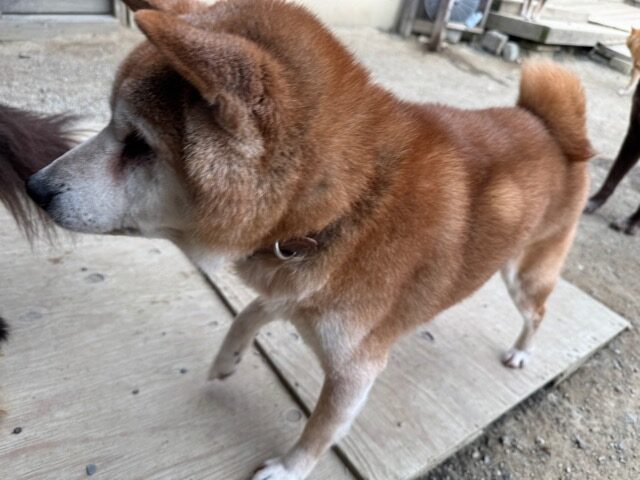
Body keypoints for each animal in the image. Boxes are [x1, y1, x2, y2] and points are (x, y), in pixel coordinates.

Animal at [24, 1, 593, 478]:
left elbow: (319, 429)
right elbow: (246, 314)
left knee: (538, 312)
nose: (34, 187)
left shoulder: (354, 368)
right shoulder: (292, 286)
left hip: (524, 276)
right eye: (108, 124)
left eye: (138, 144)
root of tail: (552, 129)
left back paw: (520, 353)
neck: (350, 205)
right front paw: (227, 360)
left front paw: (287, 469)